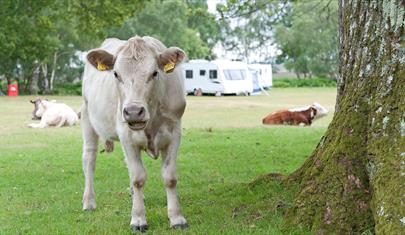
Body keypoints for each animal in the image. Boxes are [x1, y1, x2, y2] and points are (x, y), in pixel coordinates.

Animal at [82, 35, 189, 232]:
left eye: (155, 73)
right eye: (116, 74)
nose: (133, 112)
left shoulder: (174, 132)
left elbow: (169, 177)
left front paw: (177, 218)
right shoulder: (127, 136)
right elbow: (138, 178)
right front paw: (138, 219)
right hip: (87, 117)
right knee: (89, 160)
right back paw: (89, 201)